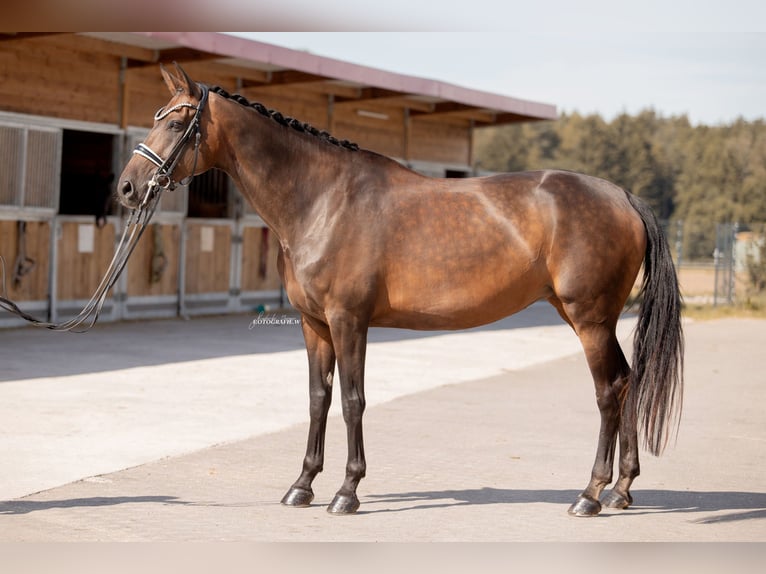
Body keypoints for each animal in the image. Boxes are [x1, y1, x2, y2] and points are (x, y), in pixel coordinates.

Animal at [118, 65, 684, 520]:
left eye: (175, 123)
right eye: (156, 116)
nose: (126, 187)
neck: (322, 199)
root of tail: (623, 196)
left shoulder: (349, 321)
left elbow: (352, 401)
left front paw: (346, 491)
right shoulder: (314, 325)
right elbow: (318, 399)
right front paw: (302, 486)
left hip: (589, 320)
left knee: (609, 391)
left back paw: (589, 495)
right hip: (587, 318)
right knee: (628, 382)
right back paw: (621, 491)